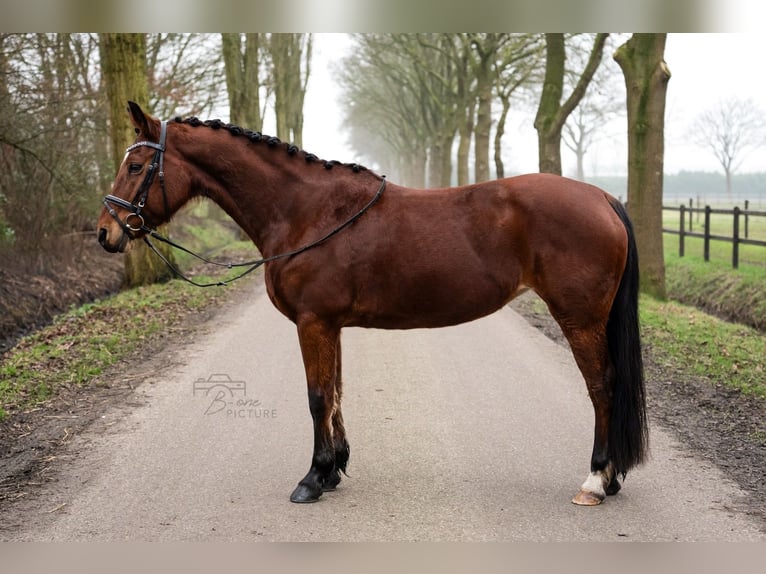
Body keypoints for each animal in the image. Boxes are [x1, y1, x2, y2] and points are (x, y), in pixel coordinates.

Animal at [96, 103, 648, 508]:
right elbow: (336, 394)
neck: (307, 213)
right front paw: (334, 469)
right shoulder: (330, 325)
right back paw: (612, 478)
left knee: (602, 388)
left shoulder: (313, 323)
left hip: (580, 319)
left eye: (137, 166)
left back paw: (597, 481)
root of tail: (602, 197)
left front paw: (313, 478)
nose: (105, 233)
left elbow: (317, 397)